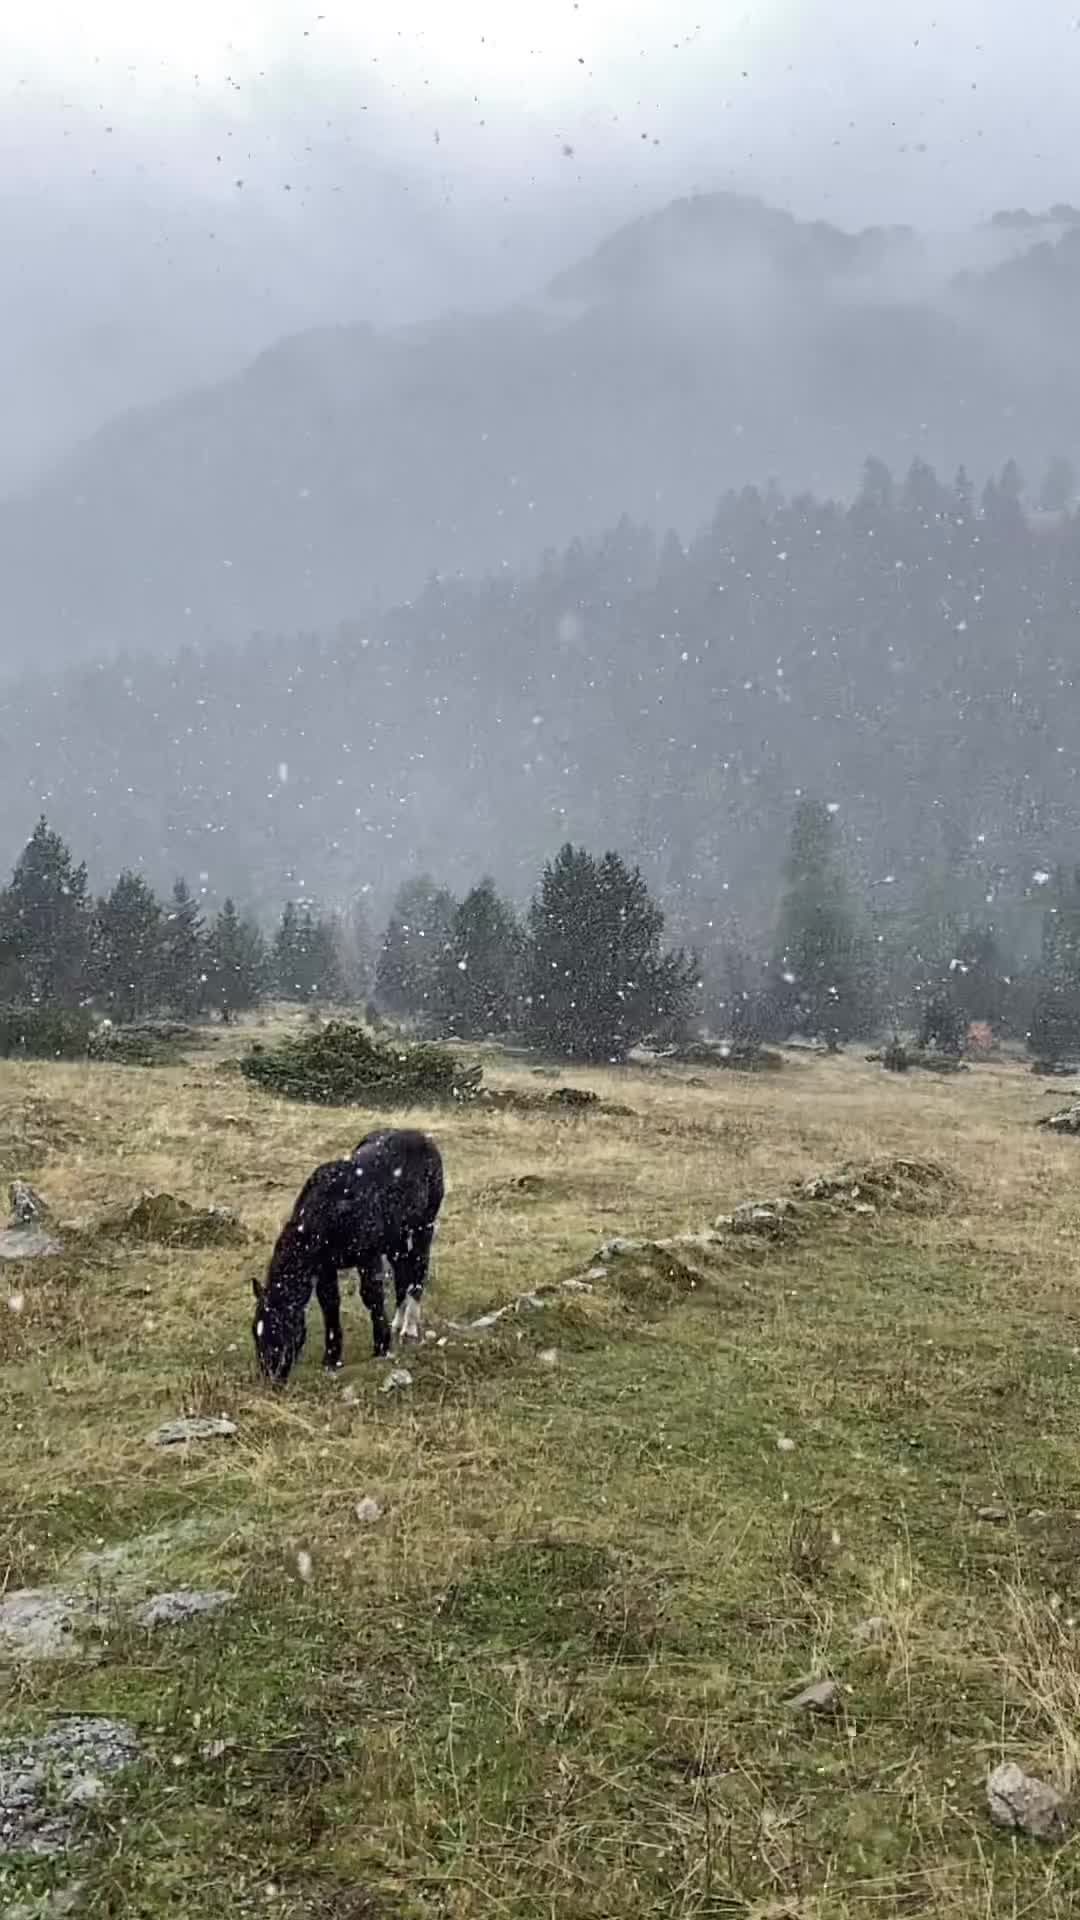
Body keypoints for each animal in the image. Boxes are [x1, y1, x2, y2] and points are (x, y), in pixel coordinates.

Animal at [251, 1121, 441, 1382]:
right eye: (255, 1332)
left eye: (280, 1327)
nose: (272, 1377)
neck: (329, 1213)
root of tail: (421, 1136)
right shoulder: (325, 1267)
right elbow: (329, 1304)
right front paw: (332, 1359)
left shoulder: (368, 1257)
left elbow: (371, 1296)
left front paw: (381, 1348)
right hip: (396, 1241)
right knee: (402, 1276)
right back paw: (397, 1322)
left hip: (424, 1227)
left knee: (419, 1271)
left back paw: (409, 1328)